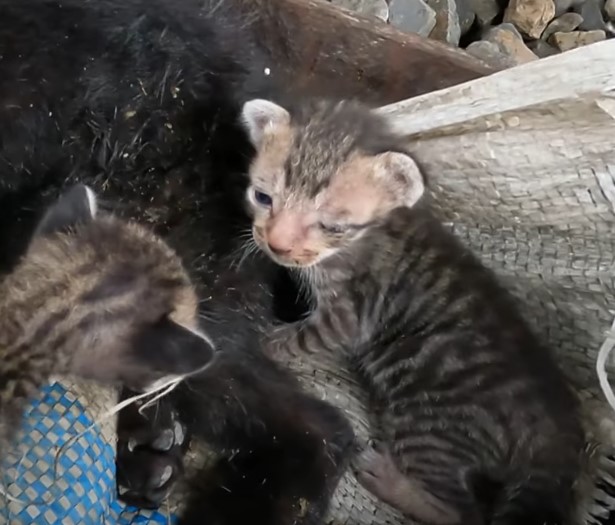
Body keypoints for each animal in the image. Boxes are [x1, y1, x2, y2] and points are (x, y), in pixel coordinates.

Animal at [241, 97, 588, 524]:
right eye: (263, 197)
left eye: (331, 225)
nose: (276, 245)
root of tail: (557, 431)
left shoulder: (351, 314)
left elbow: (301, 338)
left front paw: (262, 342)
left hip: (431, 427)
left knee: (462, 512)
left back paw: (389, 480)